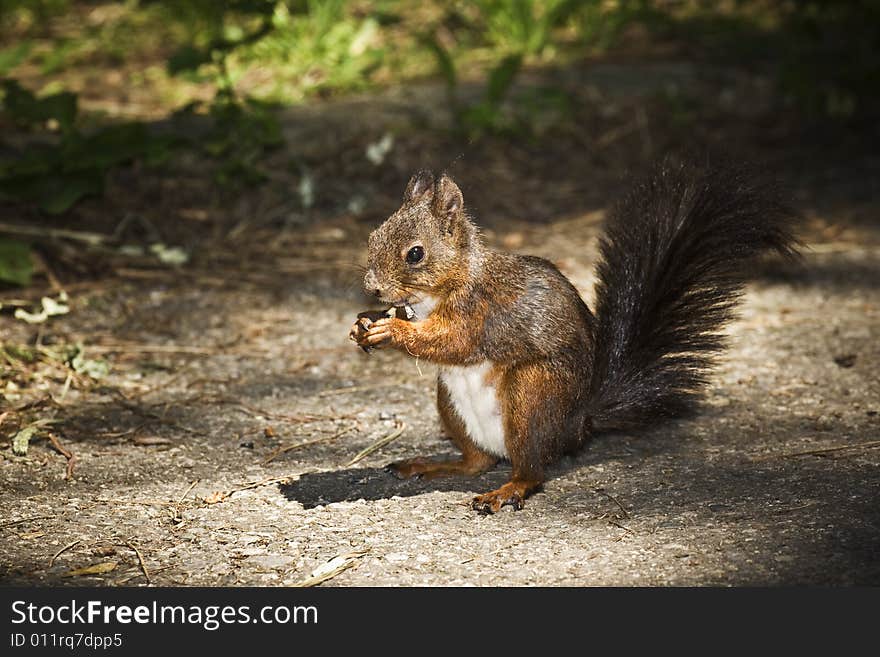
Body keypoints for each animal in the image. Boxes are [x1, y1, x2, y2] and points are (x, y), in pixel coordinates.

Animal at [348, 159, 796, 512]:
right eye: (372, 237)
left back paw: (506, 491)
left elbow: (454, 342)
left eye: (415, 254)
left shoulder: (481, 313)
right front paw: (363, 323)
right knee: (478, 462)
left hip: (532, 395)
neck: (438, 292)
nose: (372, 287)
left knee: (531, 470)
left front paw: (391, 328)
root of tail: (578, 425)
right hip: (451, 402)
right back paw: (433, 464)